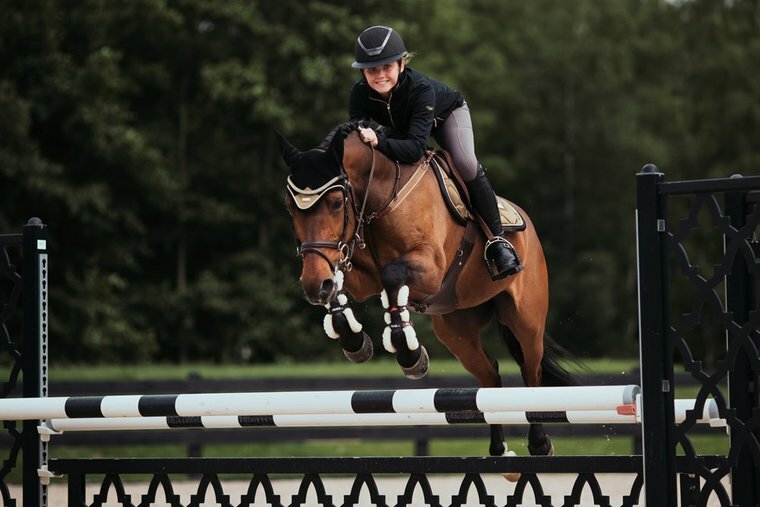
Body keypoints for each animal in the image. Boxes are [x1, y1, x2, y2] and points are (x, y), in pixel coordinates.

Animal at [277, 122, 576, 460]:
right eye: (289, 207)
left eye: (336, 203)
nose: (313, 285)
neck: (381, 196)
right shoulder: (359, 275)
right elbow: (341, 279)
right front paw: (355, 340)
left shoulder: (430, 268)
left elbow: (392, 275)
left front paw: (408, 353)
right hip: (456, 331)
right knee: (490, 375)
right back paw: (498, 450)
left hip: (526, 319)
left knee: (531, 369)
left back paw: (540, 443)